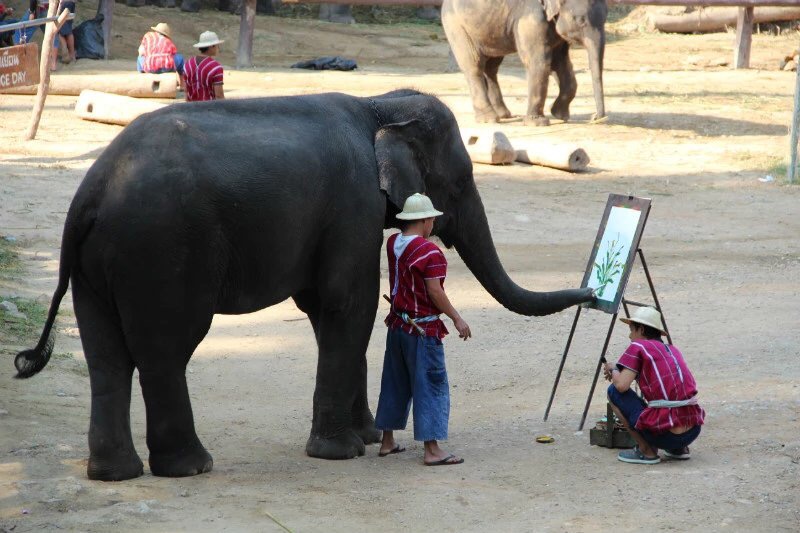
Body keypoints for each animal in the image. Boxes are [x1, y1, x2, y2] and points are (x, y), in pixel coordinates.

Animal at [14, 89, 592, 480]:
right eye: (462, 179)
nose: (592, 293)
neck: (378, 107)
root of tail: (89, 196)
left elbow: (333, 311)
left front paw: (368, 437)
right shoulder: (353, 203)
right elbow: (348, 306)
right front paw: (344, 452)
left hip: (97, 267)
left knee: (106, 358)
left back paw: (115, 474)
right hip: (161, 251)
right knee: (165, 352)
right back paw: (192, 466)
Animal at [444, 0, 608, 125]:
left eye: (606, 18)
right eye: (580, 20)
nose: (594, 117)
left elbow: (561, 63)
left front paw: (560, 115)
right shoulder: (530, 17)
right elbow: (539, 62)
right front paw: (538, 123)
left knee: (491, 67)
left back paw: (504, 115)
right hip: (457, 27)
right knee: (474, 66)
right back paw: (489, 119)